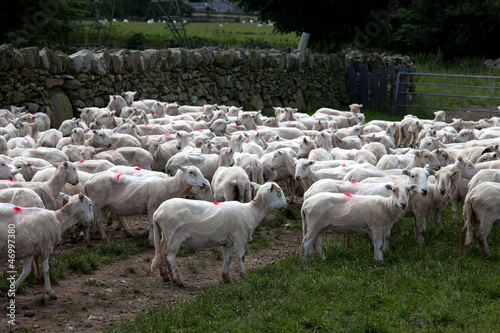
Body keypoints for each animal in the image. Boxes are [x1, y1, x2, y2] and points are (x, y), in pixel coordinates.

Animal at [150, 180, 288, 286]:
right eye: (279, 192)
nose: (285, 205)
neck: (252, 211)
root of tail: (158, 213)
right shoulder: (239, 239)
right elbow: (241, 257)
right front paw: (244, 276)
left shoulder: (227, 242)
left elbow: (228, 258)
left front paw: (226, 278)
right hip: (175, 235)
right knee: (169, 256)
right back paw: (177, 281)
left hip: (165, 235)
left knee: (161, 253)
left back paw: (165, 276)